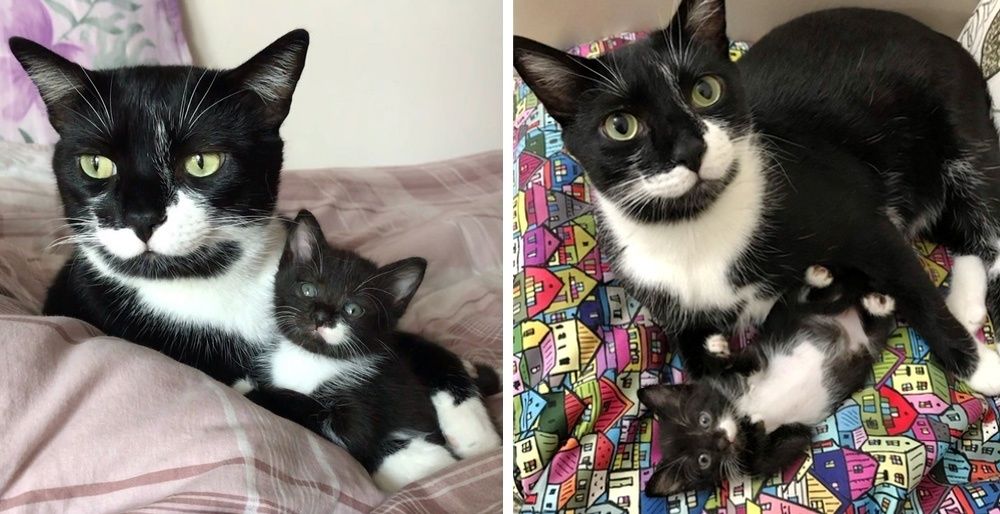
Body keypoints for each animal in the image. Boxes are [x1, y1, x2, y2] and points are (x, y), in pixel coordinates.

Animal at [242, 210, 500, 490]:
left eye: (353, 309)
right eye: (307, 289)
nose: (320, 317)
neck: (311, 358)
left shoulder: (360, 406)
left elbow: (343, 430)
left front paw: (255, 392)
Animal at [512, 2, 1000, 390]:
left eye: (705, 90)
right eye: (620, 125)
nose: (690, 148)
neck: (693, 225)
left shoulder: (862, 218)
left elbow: (914, 286)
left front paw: (979, 368)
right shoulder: (661, 293)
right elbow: (698, 361)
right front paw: (727, 361)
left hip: (961, 131)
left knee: (984, 222)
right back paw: (967, 303)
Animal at [640, 264, 900, 492]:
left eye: (704, 419)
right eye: (703, 460)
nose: (723, 441)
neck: (739, 412)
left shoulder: (752, 359)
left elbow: (743, 361)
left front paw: (719, 350)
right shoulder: (790, 438)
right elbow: (768, 457)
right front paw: (756, 430)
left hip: (790, 309)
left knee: (804, 297)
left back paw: (829, 282)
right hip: (869, 343)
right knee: (874, 324)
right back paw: (876, 304)